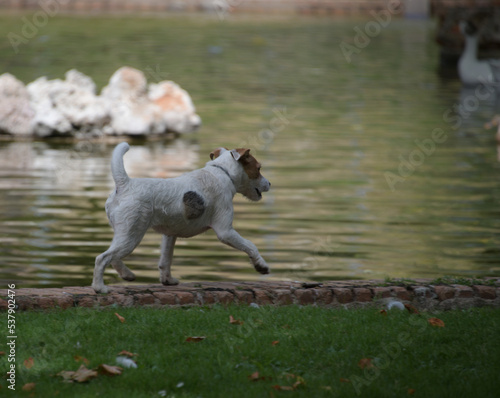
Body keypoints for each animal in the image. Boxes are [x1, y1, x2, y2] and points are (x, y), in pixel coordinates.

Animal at [92, 142, 272, 292]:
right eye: (258, 168)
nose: (270, 184)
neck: (223, 172)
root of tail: (124, 185)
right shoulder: (225, 231)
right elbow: (250, 245)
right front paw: (261, 266)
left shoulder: (169, 234)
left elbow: (165, 260)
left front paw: (168, 280)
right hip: (132, 235)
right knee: (103, 258)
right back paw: (100, 288)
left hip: (124, 233)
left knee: (114, 258)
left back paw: (127, 274)